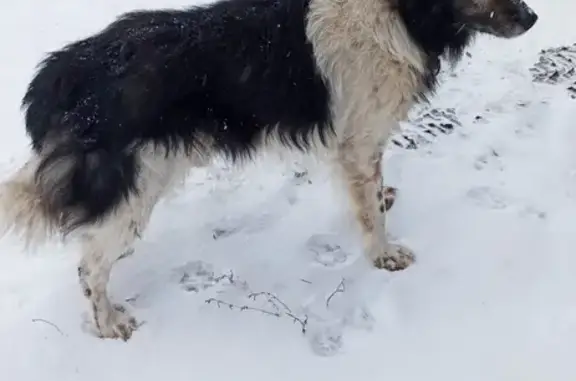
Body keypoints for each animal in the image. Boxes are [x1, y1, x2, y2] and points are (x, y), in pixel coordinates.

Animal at [2, 0, 536, 338]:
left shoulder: (359, 149)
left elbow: (370, 195)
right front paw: (383, 254)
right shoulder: (358, 141)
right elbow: (370, 215)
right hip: (138, 186)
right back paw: (109, 322)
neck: (400, 15)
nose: (533, 17)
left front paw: (383, 201)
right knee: (90, 265)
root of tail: (66, 69)